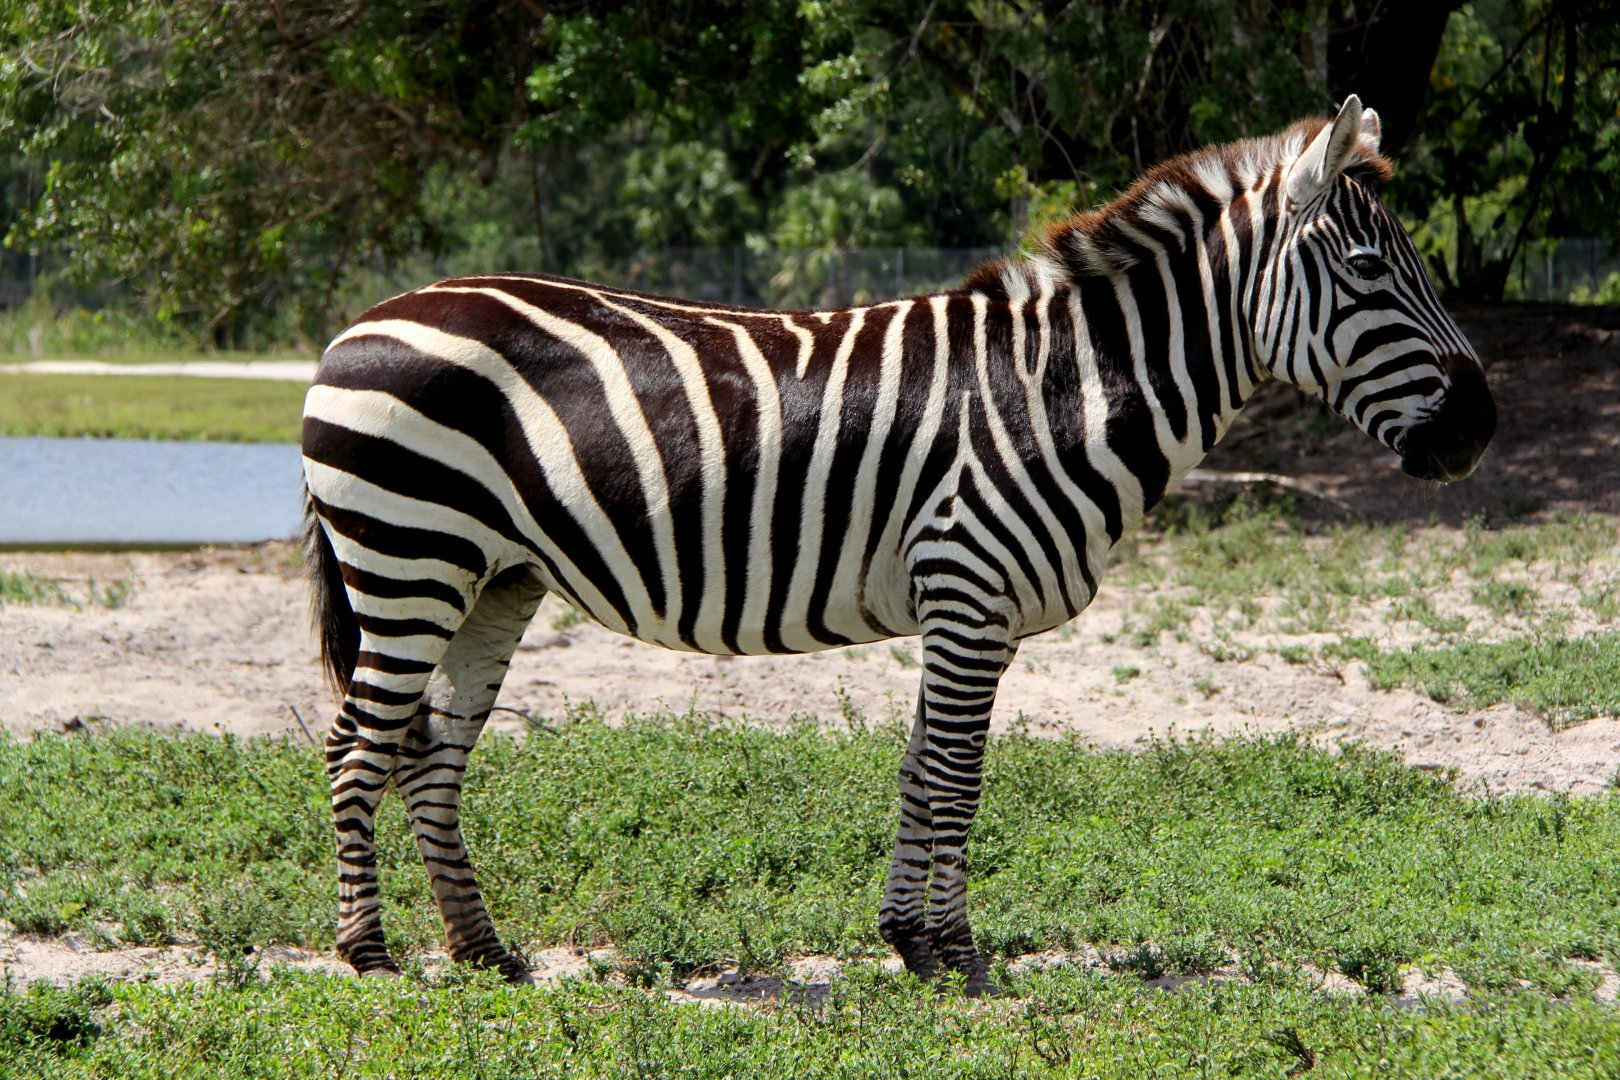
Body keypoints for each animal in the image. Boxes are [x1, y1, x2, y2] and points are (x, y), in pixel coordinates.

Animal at [302, 96, 1494, 996]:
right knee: (358, 743)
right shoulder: (969, 591)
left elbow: (923, 770)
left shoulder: (968, 609)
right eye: (1372, 271)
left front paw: (909, 943)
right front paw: (960, 957)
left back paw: (483, 951)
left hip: (496, 577)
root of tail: (358, 323)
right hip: (409, 554)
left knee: (432, 754)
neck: (1059, 391)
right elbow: (960, 778)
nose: (1481, 430)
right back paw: (371, 957)